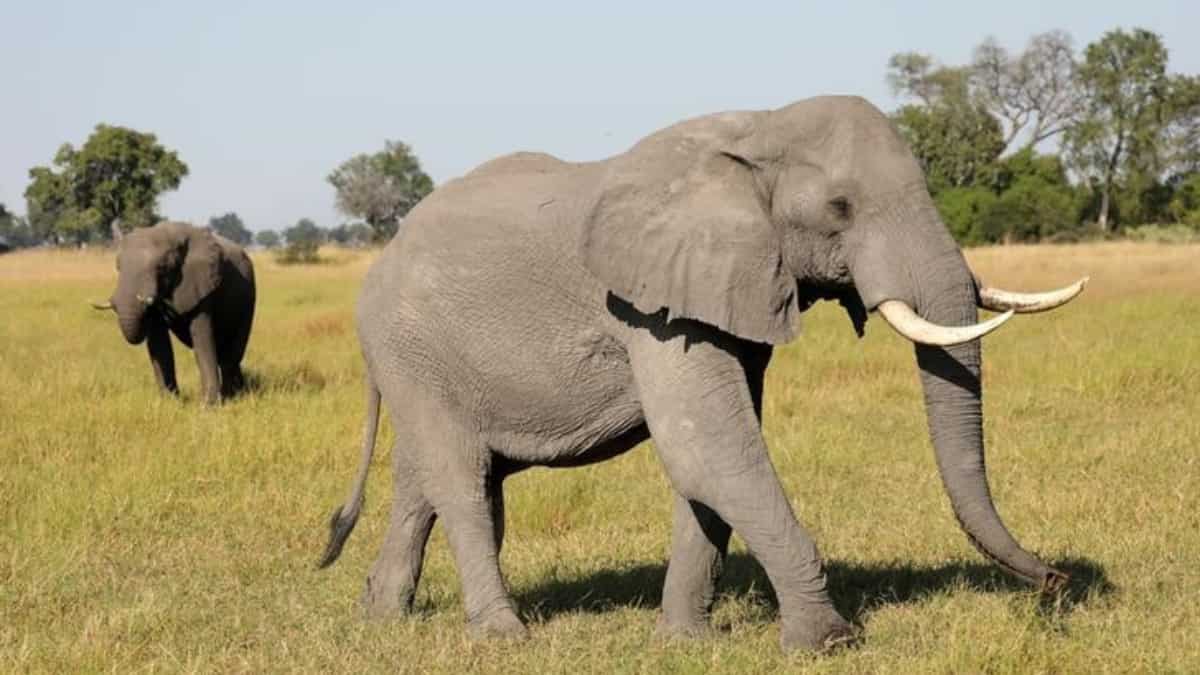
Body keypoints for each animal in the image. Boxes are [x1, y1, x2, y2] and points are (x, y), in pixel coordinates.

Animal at [92, 221, 256, 405]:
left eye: (161, 268)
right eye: (118, 266)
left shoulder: (201, 285)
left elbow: (202, 341)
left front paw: (208, 405)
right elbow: (159, 344)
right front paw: (169, 402)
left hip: (249, 298)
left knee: (232, 353)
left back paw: (233, 396)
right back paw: (239, 392)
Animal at [317, 96, 1086, 652]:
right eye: (840, 209)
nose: (1057, 583)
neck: (759, 129)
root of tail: (380, 260)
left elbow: (713, 462)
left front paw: (685, 642)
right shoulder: (650, 306)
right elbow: (709, 449)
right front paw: (826, 642)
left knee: (431, 479)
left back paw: (380, 619)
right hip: (409, 347)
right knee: (462, 481)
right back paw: (505, 637)